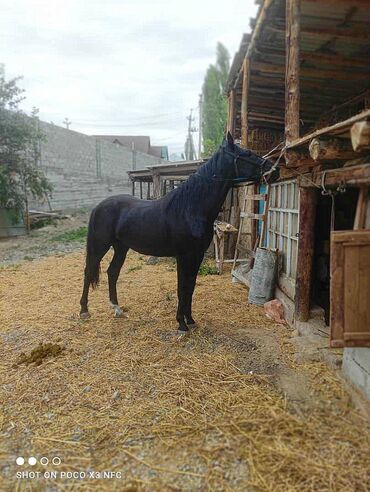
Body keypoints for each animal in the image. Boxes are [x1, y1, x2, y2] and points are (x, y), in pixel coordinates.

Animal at [80, 133, 278, 330]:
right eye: (247, 154)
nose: (275, 169)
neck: (190, 208)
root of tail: (98, 206)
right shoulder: (183, 256)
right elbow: (182, 287)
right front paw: (181, 324)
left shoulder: (196, 255)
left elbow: (190, 286)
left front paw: (190, 320)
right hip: (100, 246)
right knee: (89, 271)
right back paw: (84, 311)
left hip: (121, 247)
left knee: (112, 272)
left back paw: (117, 309)